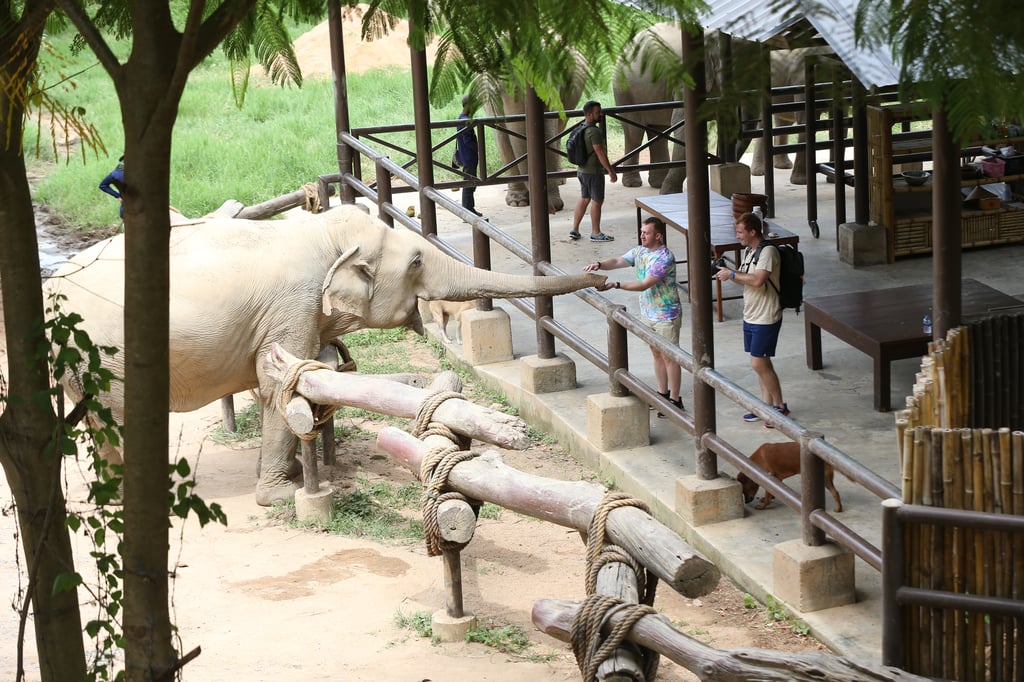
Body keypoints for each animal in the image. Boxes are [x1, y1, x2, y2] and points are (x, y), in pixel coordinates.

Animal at [44, 205, 604, 506]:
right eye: (416, 261)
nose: (600, 274)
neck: (323, 233)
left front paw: (292, 475)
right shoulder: (292, 304)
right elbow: (278, 382)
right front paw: (278, 496)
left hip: (88, 361)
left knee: (100, 421)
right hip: (106, 354)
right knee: (119, 420)